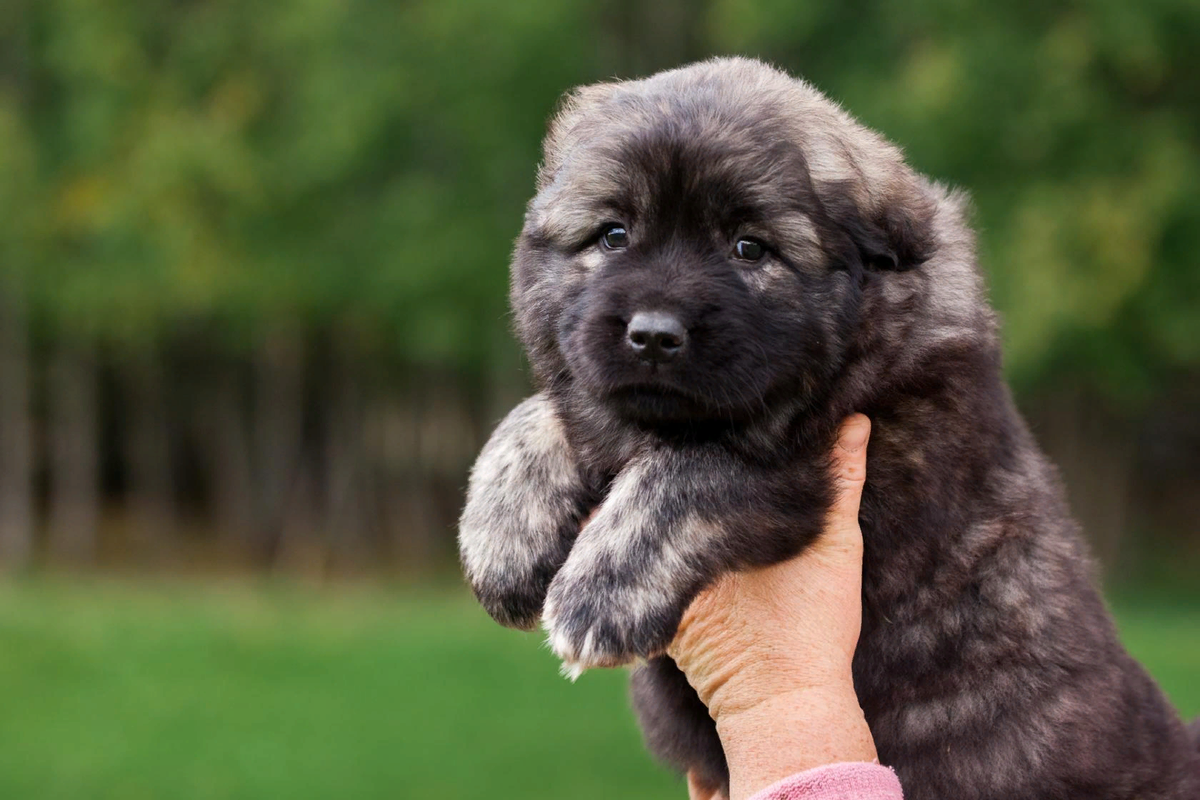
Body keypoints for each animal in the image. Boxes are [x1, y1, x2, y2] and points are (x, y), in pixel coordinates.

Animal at [453, 61, 1195, 800]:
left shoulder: (825, 465)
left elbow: (690, 470)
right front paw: (501, 537)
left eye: (750, 248)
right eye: (613, 234)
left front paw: (601, 594)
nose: (654, 335)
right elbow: (538, 414)